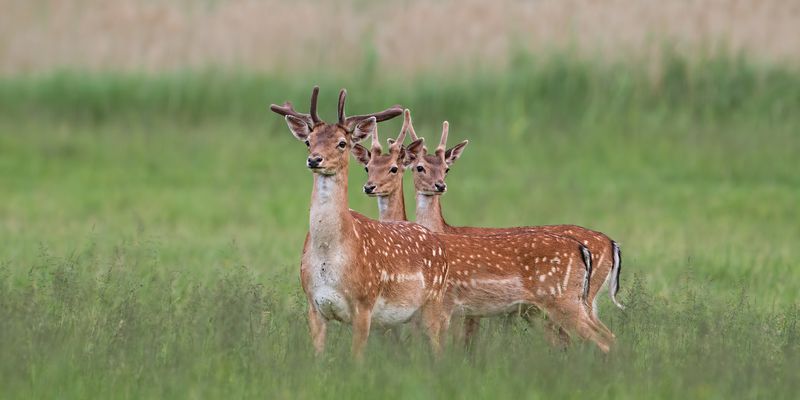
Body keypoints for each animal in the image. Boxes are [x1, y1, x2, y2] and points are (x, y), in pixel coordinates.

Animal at [272, 89, 454, 358]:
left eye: (342, 143)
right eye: (309, 141)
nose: (314, 160)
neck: (329, 257)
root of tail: (436, 240)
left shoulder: (364, 304)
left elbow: (356, 359)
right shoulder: (314, 305)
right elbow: (318, 357)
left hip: (433, 302)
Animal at [352, 111, 612, 352]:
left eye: (394, 168)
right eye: (367, 168)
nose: (369, 187)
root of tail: (610, 245)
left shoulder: (449, 307)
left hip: (567, 301)